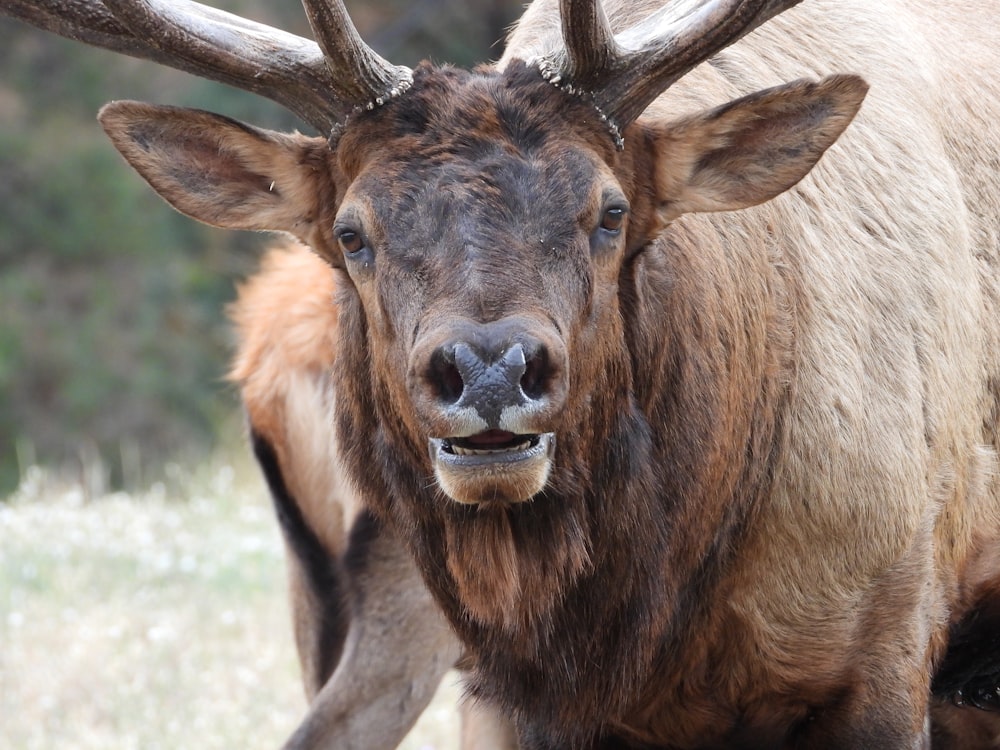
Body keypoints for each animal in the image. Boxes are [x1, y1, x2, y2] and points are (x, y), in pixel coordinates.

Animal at [5, 0, 1000, 748]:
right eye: (353, 230)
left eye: (611, 209)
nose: (490, 372)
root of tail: (260, 359)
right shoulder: (525, 702)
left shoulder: (888, 644)